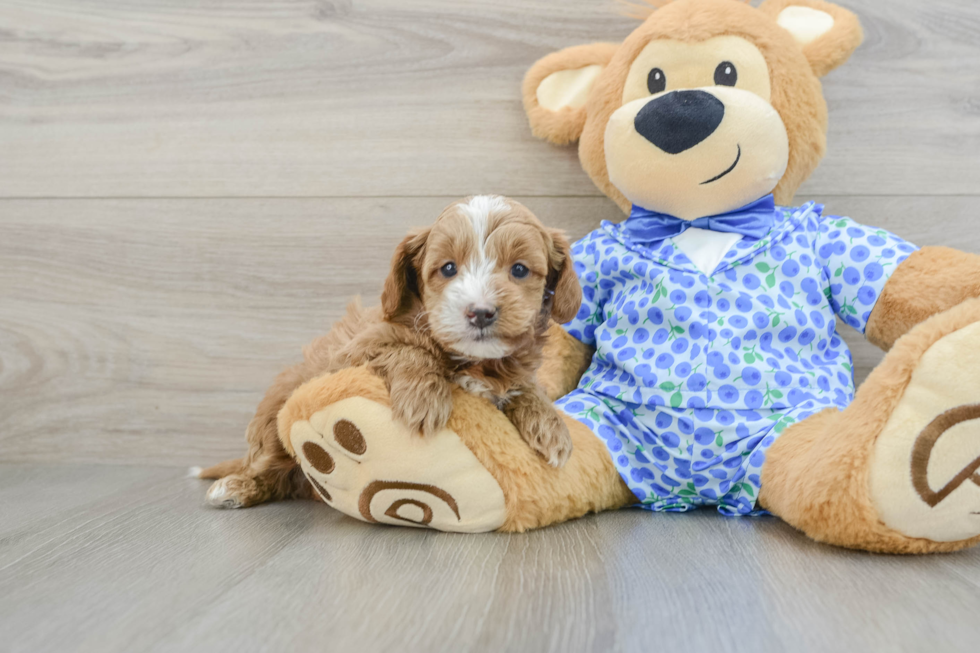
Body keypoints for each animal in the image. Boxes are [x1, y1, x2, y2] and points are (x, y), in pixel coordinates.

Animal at [199, 195, 580, 510]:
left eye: (519, 269)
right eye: (448, 268)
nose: (481, 312)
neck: (475, 361)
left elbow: (525, 386)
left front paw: (551, 427)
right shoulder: (358, 349)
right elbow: (408, 349)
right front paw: (424, 400)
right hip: (274, 420)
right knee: (270, 467)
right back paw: (235, 487)